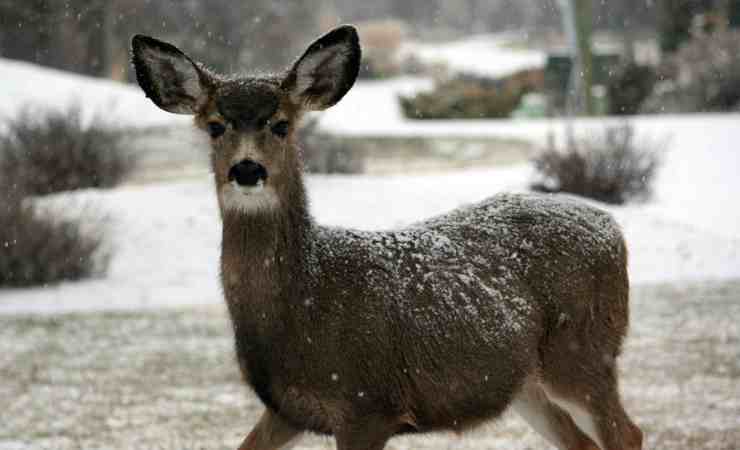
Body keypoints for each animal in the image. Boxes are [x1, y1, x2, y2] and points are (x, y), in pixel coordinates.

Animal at [131, 25, 642, 450]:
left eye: (281, 124)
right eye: (215, 126)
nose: (247, 170)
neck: (305, 300)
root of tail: (611, 227)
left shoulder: (368, 403)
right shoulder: (288, 410)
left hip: (583, 350)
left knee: (626, 433)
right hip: (524, 383)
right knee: (582, 443)